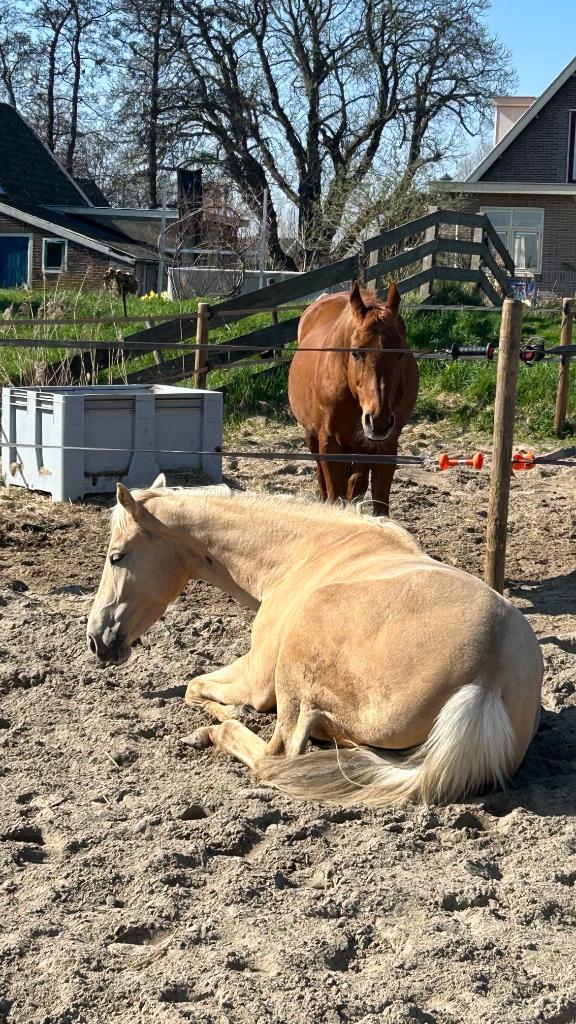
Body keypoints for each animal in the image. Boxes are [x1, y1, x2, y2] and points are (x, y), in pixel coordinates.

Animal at [87, 480, 543, 807]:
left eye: (116, 556)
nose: (95, 639)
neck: (304, 552)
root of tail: (487, 676)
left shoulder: (257, 677)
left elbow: (193, 687)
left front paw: (223, 714)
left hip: (295, 672)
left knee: (276, 754)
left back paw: (213, 733)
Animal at [288, 281, 419, 514]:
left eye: (399, 354)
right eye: (356, 352)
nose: (379, 421)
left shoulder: (385, 447)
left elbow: (378, 504)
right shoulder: (330, 445)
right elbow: (334, 494)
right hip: (312, 436)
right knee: (321, 475)